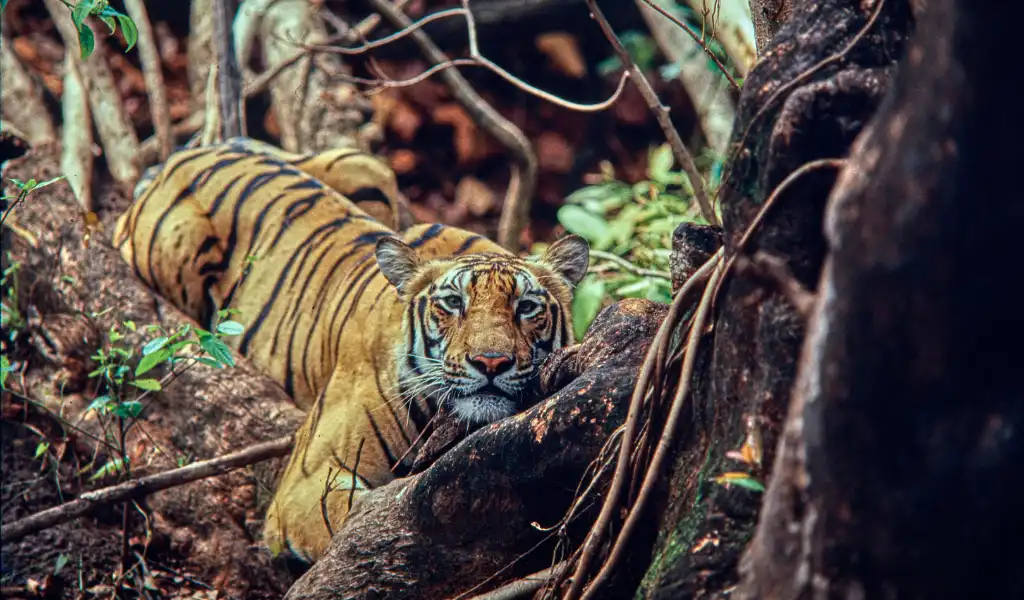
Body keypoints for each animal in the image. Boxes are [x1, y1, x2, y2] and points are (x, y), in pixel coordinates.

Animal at [112, 138, 590, 561]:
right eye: (454, 303)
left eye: (526, 307)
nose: (491, 362)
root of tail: (182, 155)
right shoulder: (306, 486)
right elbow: (359, 524)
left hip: (365, 167)